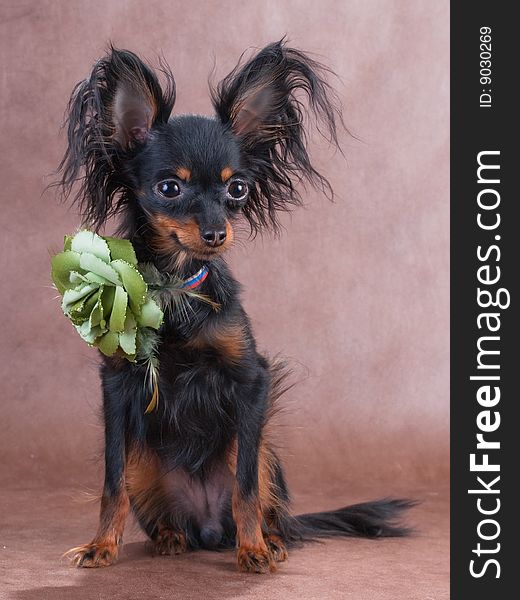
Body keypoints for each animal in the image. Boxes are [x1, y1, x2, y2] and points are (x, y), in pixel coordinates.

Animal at [57, 39, 412, 576]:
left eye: (237, 188)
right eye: (169, 188)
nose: (216, 233)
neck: (178, 291)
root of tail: (208, 529)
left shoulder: (251, 382)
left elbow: (244, 487)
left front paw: (254, 552)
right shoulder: (117, 387)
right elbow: (110, 483)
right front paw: (101, 546)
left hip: (266, 454)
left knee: (263, 501)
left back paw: (270, 540)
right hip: (147, 464)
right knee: (158, 509)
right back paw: (170, 537)